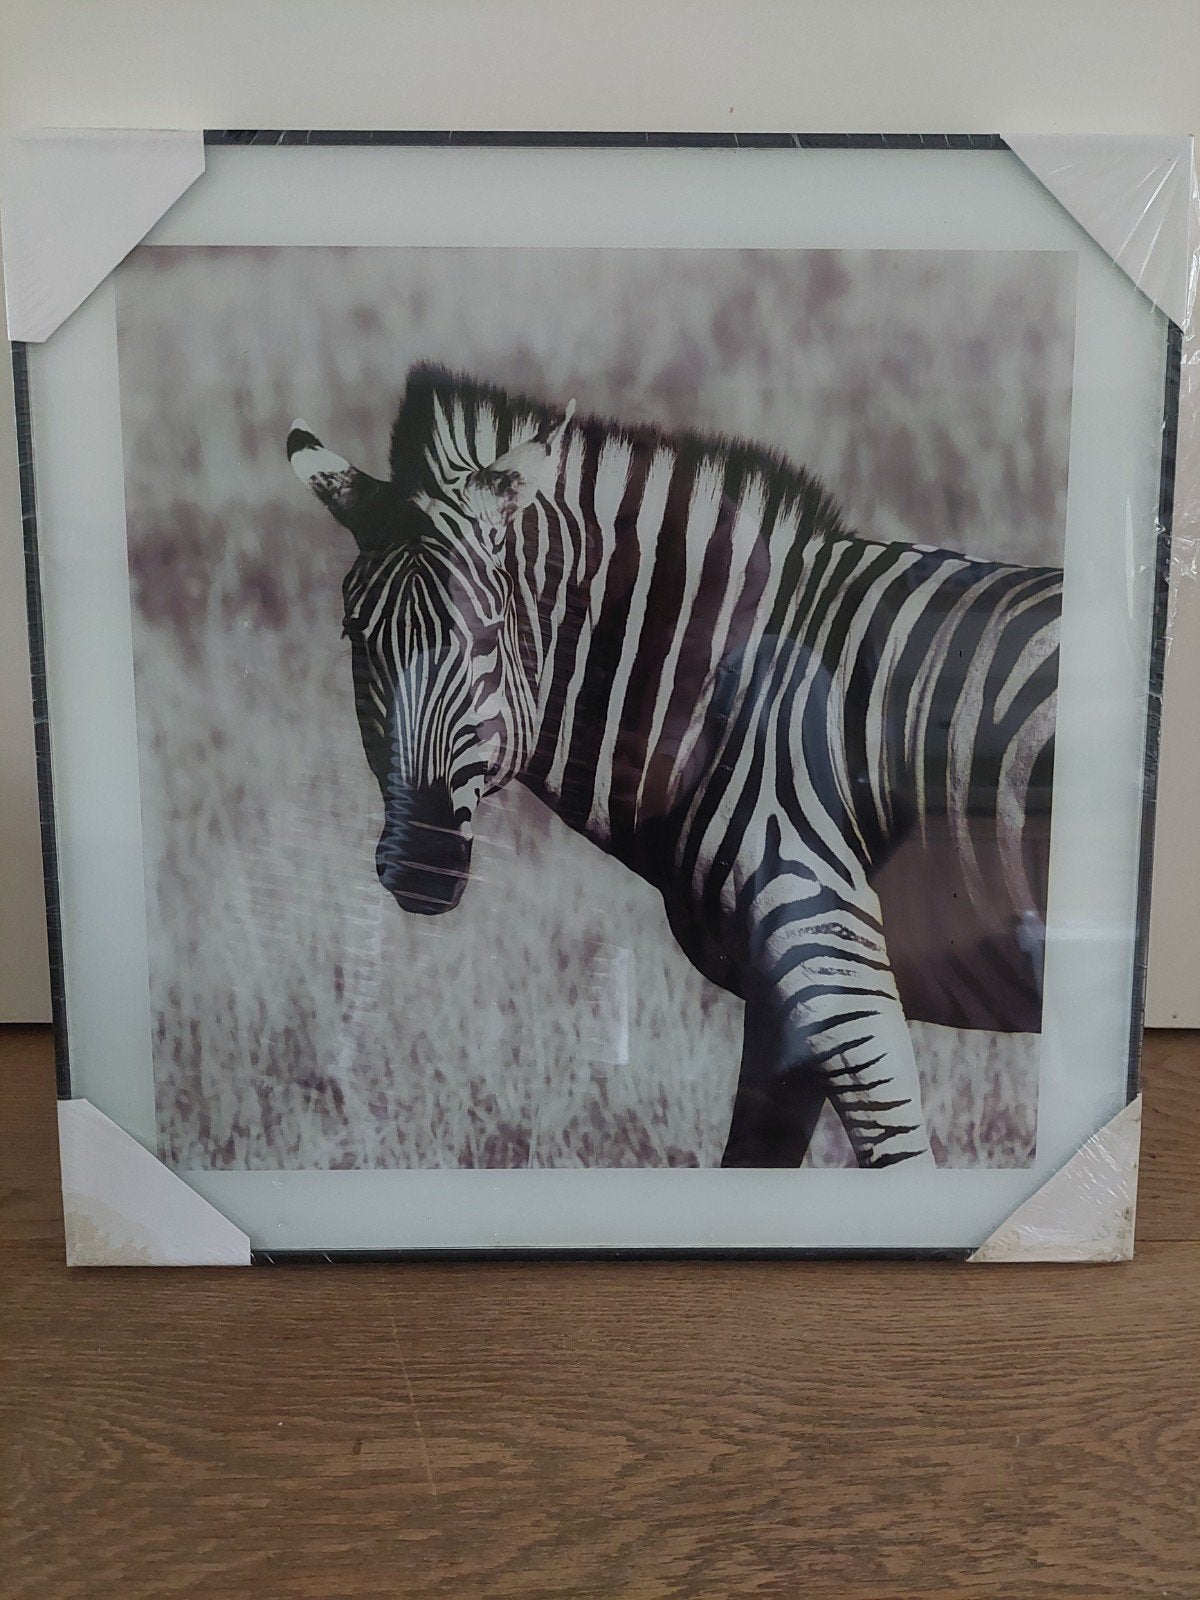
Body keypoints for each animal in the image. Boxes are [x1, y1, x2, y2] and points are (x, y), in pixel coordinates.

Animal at [288, 364, 1061, 1169]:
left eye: (488, 632)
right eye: (354, 634)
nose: (423, 864)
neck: (728, 695)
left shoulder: (833, 956)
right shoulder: (780, 998)